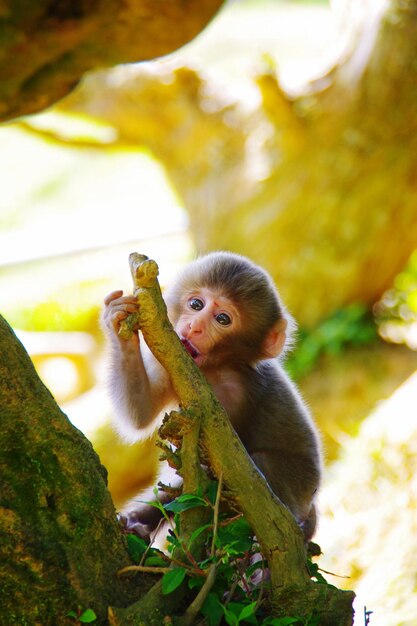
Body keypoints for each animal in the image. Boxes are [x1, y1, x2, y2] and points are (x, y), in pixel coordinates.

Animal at [101, 251, 322, 540]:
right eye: (196, 304)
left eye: (222, 319)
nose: (195, 326)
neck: (215, 367)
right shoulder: (173, 365)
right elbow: (141, 413)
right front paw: (117, 318)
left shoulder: (233, 391)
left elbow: (220, 463)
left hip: (300, 486)